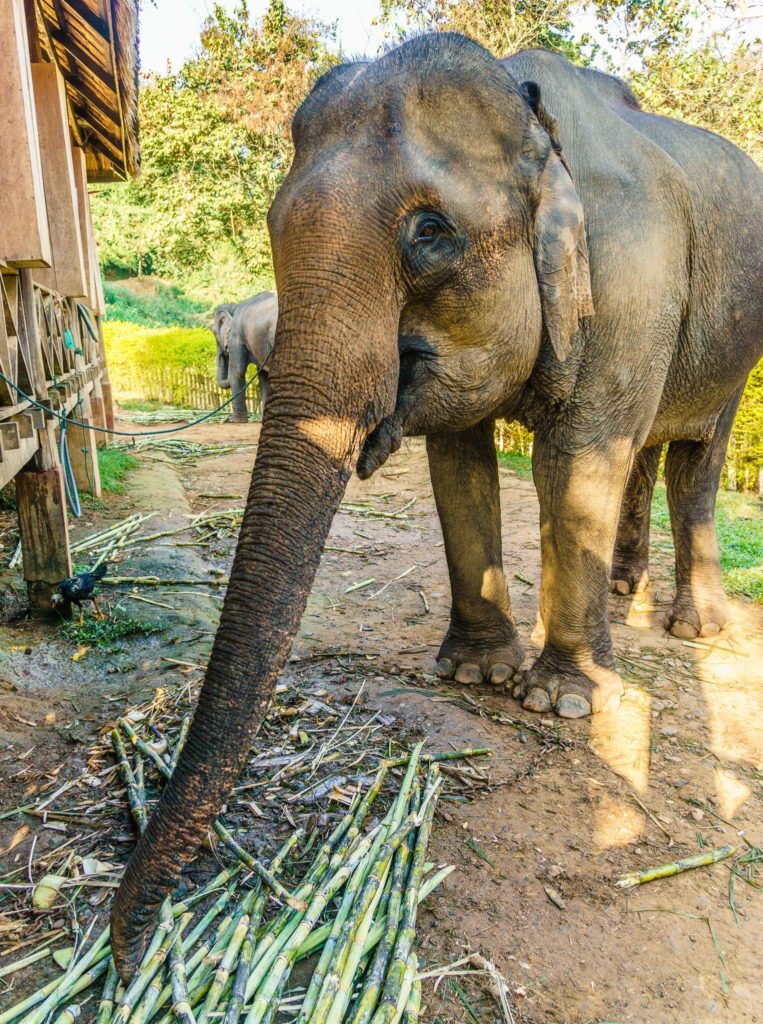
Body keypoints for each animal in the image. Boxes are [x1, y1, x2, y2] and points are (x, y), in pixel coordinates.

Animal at [209, 290, 278, 421]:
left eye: (213, 332)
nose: (224, 349)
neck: (233, 306)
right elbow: (264, 375)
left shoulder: (236, 337)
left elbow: (237, 372)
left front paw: (233, 420)